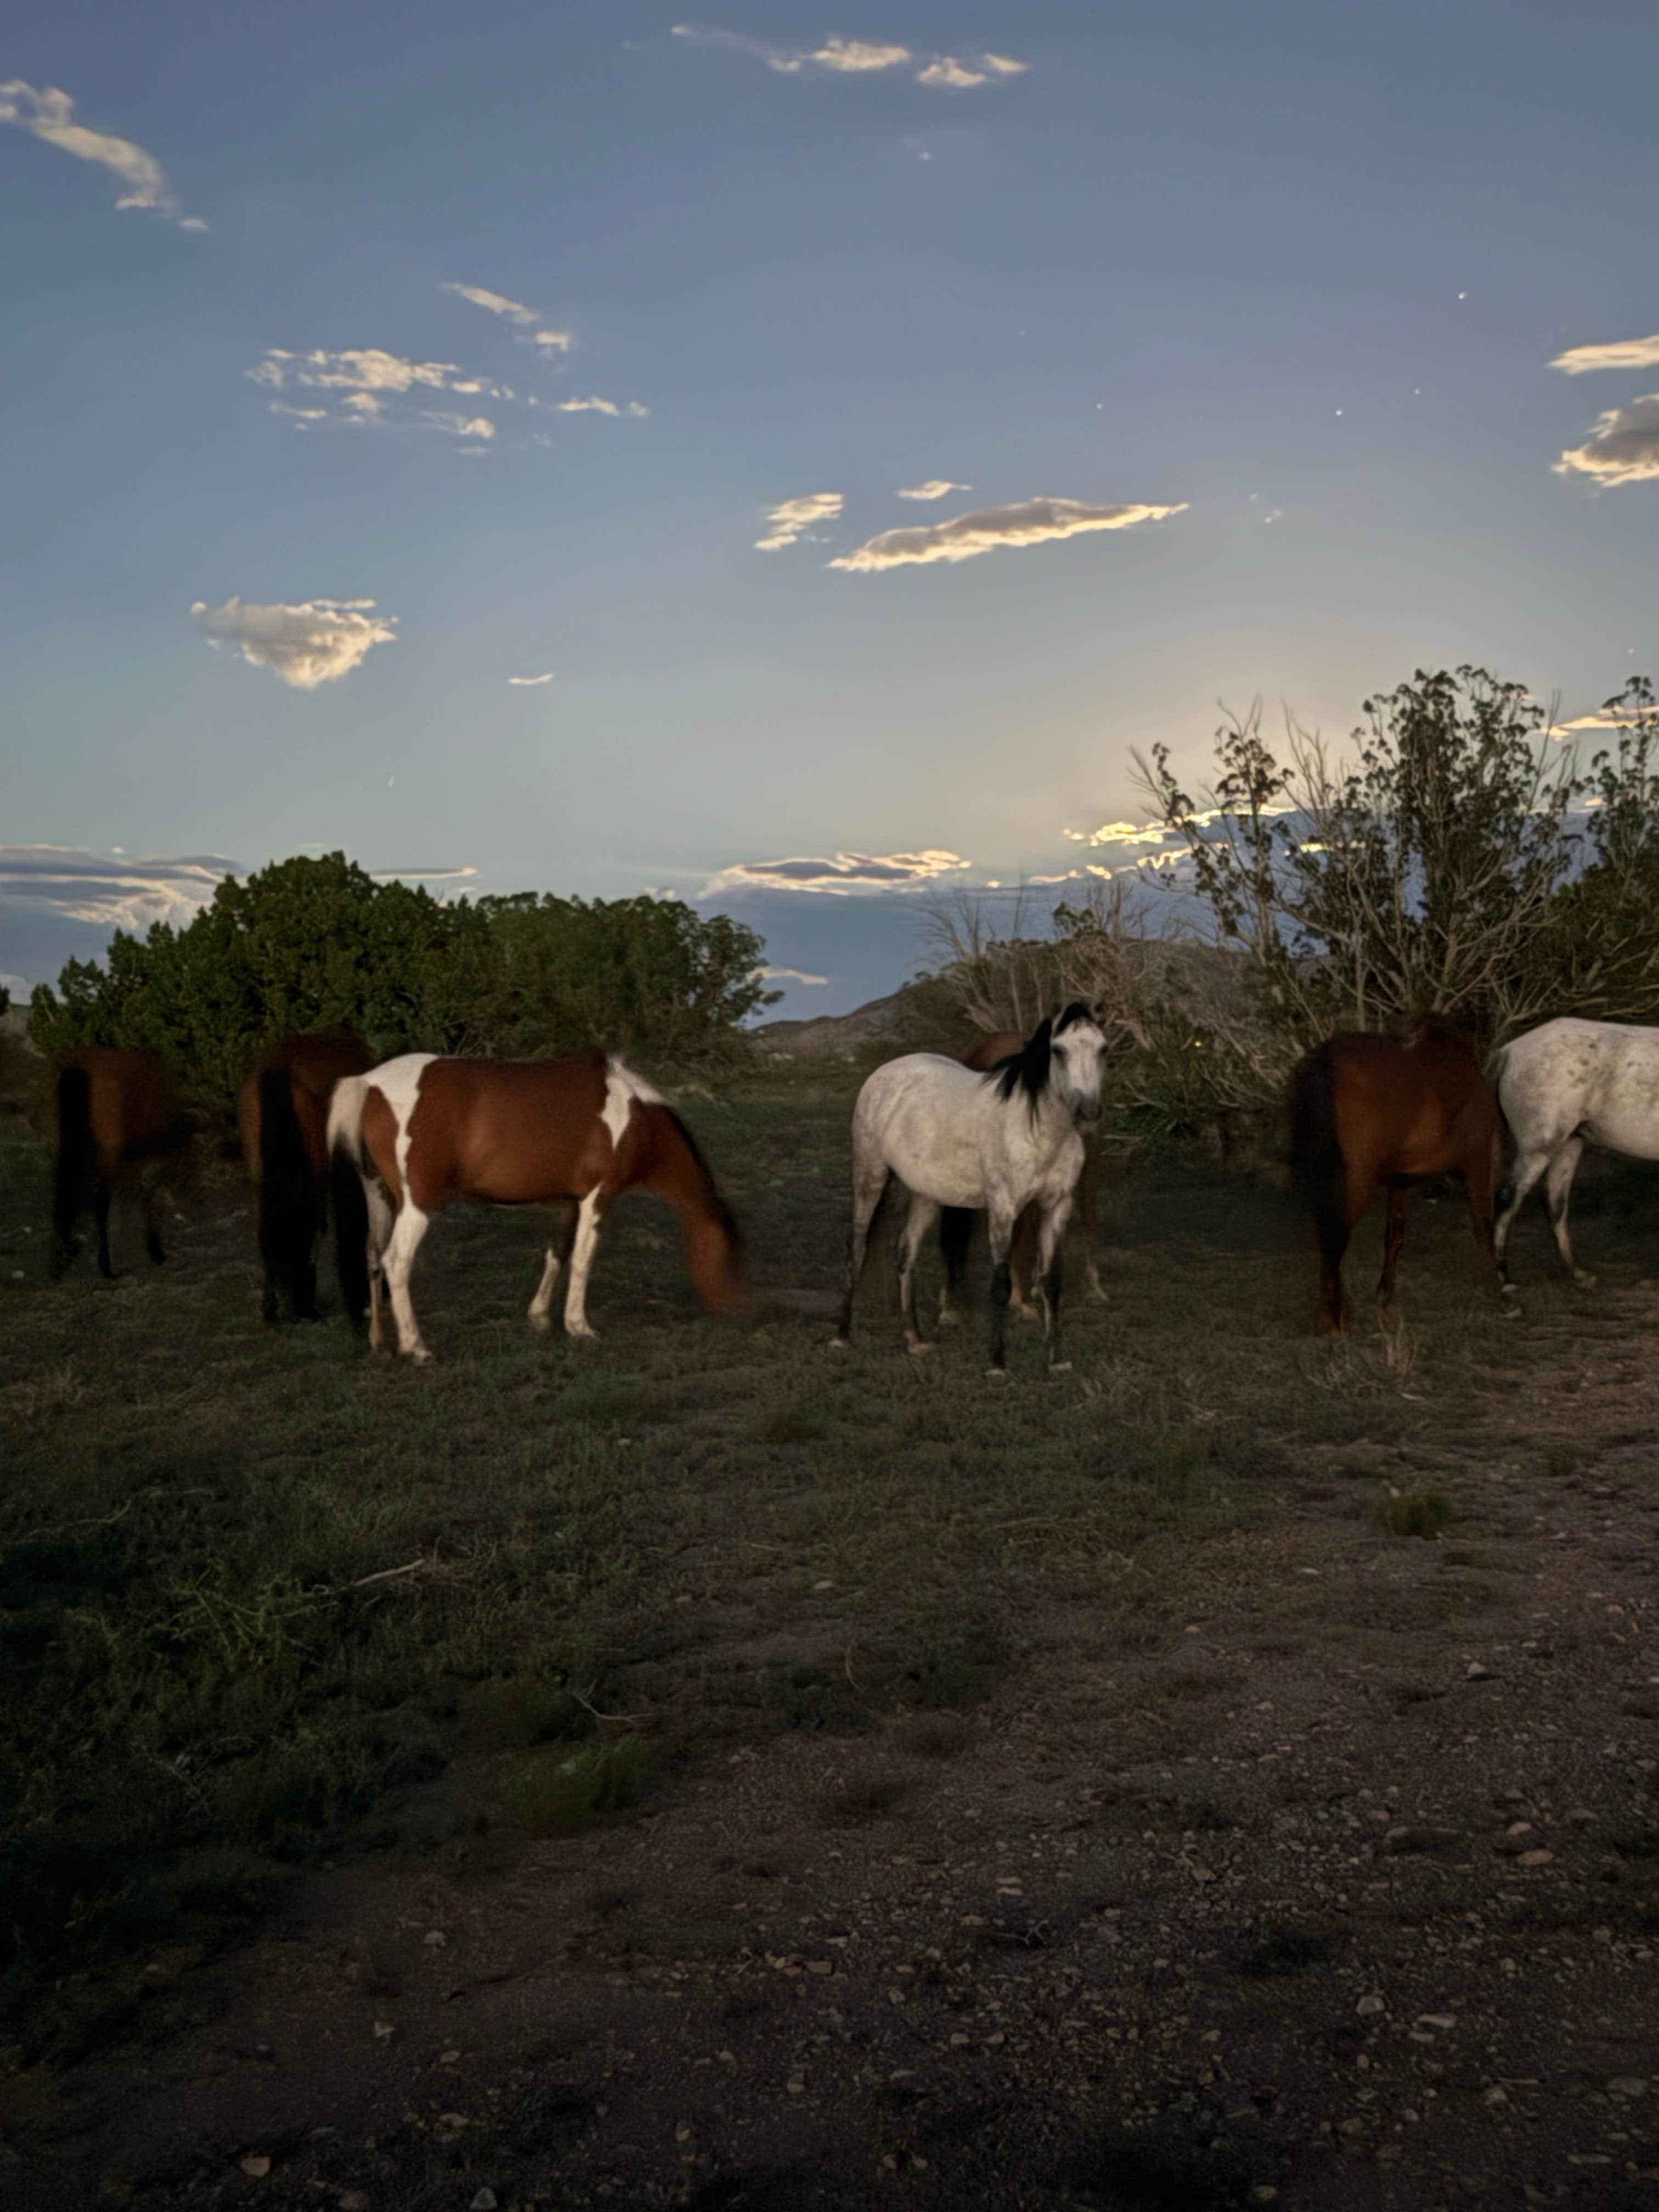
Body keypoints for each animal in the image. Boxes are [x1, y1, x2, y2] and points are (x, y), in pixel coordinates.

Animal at [49, 1047, 188, 1280]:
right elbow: (147, 1196)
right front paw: (155, 1250)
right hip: (108, 1150)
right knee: (100, 1202)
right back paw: (106, 1265)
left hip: (67, 1143)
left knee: (65, 1194)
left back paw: (60, 1262)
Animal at [326, 1050, 744, 1362]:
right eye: (728, 1255)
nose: (734, 1312)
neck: (635, 1120)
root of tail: (370, 1083)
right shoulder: (597, 1198)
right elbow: (583, 1259)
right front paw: (579, 1326)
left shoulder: (570, 1202)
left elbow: (557, 1253)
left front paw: (540, 1318)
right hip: (416, 1205)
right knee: (397, 1261)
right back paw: (416, 1347)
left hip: (380, 1195)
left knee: (373, 1256)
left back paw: (380, 1343)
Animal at [1286, 1021, 1505, 1335]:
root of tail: (1325, 1061)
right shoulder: (1477, 1159)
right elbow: (1484, 1227)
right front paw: (1500, 1290)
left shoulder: (1401, 1181)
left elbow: (1395, 1235)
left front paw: (1385, 1294)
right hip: (1356, 1182)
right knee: (1335, 1234)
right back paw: (1336, 1318)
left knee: (1330, 1235)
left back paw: (1334, 1315)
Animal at [1489, 1016, 1659, 1294]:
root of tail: (1509, 1051)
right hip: (1539, 1148)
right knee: (1508, 1201)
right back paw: (1505, 1280)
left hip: (1569, 1144)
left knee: (1556, 1203)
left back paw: (1577, 1273)